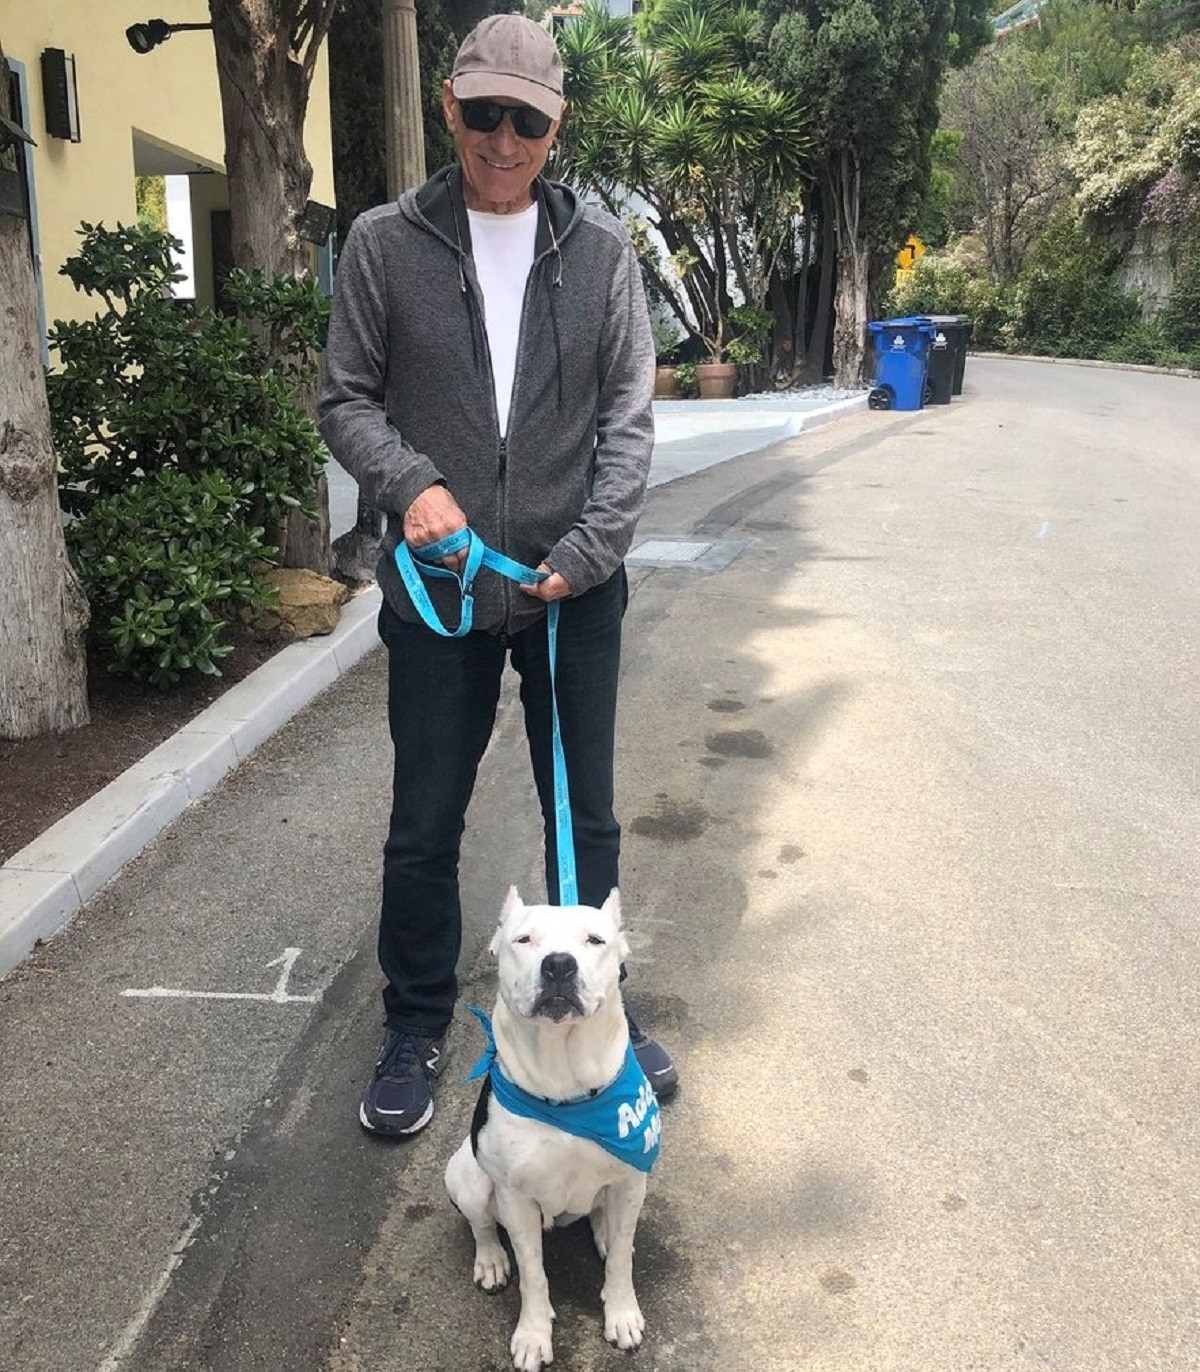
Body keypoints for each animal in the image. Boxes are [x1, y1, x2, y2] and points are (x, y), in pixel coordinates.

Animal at [444, 889, 661, 1372]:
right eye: (523, 939)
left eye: (595, 940)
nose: (559, 964)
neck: (566, 1085)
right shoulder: (516, 1198)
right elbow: (533, 1275)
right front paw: (533, 1334)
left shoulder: (630, 1179)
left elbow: (621, 1260)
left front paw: (622, 1313)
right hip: (466, 1175)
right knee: (480, 1223)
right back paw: (491, 1260)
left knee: (607, 1221)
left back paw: (603, 1231)